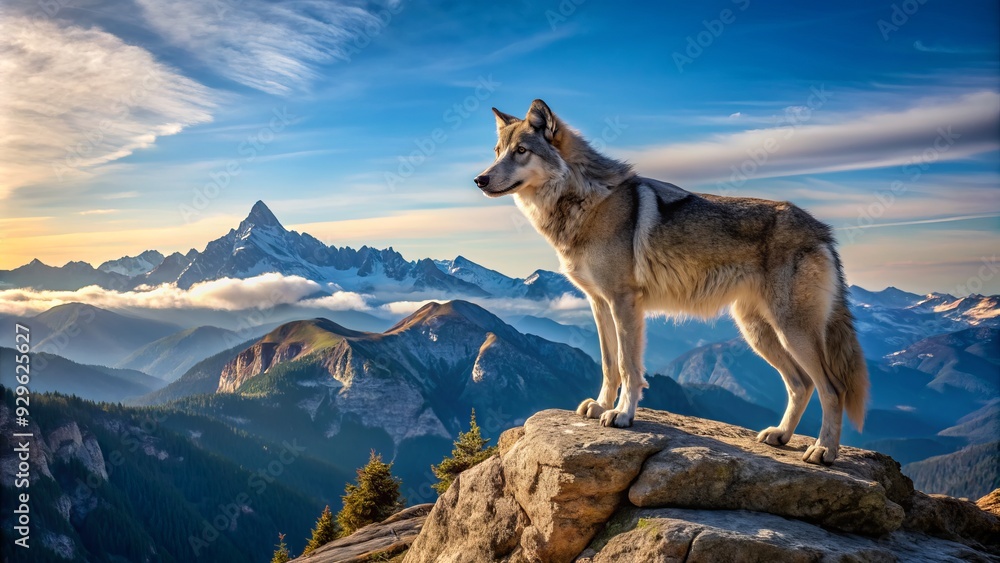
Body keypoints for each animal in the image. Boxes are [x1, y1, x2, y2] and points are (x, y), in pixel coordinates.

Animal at [474, 100, 869, 465]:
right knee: (801, 384)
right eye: (496, 152)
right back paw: (781, 435)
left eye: (521, 151)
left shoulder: (624, 303)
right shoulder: (598, 304)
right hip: (758, 332)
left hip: (791, 331)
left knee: (832, 388)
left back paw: (824, 451)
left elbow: (628, 366)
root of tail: (822, 230)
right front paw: (601, 406)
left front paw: (622, 415)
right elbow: (608, 364)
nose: (480, 179)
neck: (583, 201)